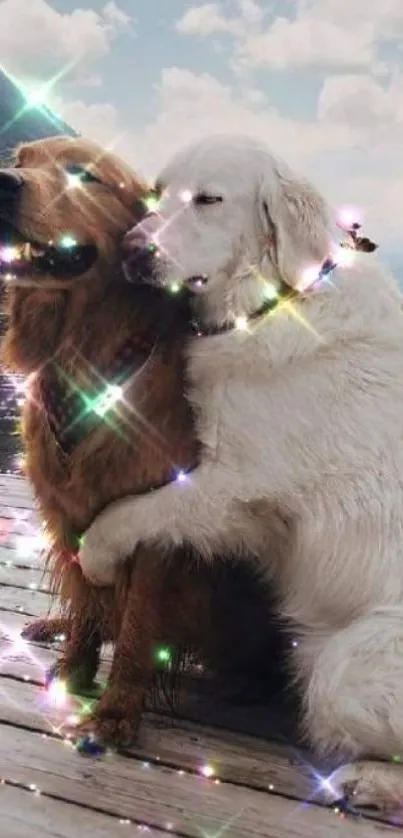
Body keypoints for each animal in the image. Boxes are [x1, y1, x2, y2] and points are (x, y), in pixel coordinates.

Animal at [79, 138, 403, 812]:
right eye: (157, 193)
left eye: (209, 199)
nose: (132, 248)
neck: (274, 301)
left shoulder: (233, 486)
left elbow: (133, 512)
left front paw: (94, 556)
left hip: (342, 666)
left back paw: (368, 780)